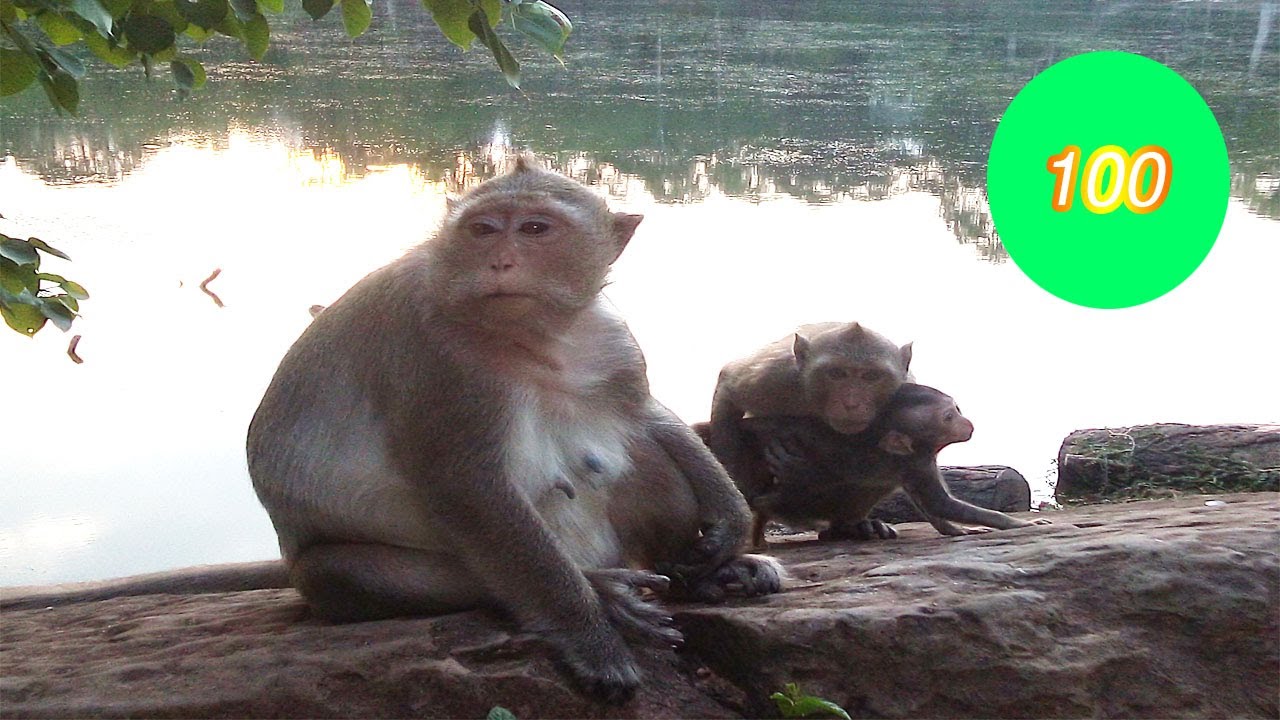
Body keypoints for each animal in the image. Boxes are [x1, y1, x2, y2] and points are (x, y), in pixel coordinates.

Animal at [244, 155, 781, 705]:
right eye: (482, 230)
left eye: (535, 229)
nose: (500, 262)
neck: (537, 334)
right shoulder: (437, 354)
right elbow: (469, 488)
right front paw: (592, 636)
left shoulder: (611, 339)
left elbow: (644, 413)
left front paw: (730, 521)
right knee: (339, 571)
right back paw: (603, 589)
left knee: (647, 457)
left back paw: (692, 573)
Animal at [707, 321, 913, 502]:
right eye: (836, 373)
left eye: (871, 376)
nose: (851, 403)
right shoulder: (772, 375)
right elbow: (728, 388)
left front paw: (806, 473)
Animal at [734, 383, 1050, 547]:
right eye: (949, 417)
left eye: (957, 410)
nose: (968, 423)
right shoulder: (916, 460)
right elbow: (940, 503)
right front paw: (1020, 523)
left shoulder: (914, 464)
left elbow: (929, 505)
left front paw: (958, 530)